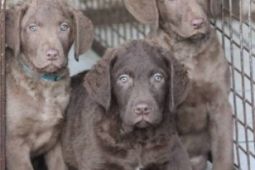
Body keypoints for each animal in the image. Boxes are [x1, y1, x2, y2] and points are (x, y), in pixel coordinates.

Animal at [4, 0, 94, 170]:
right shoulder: (15, 145)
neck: (45, 84)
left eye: (64, 27)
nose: (52, 54)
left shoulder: (55, 142)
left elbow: (60, 166)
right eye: (32, 27)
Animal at [61, 40, 192, 170]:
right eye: (123, 79)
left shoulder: (175, 154)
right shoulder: (96, 161)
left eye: (158, 77)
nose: (142, 109)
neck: (138, 137)